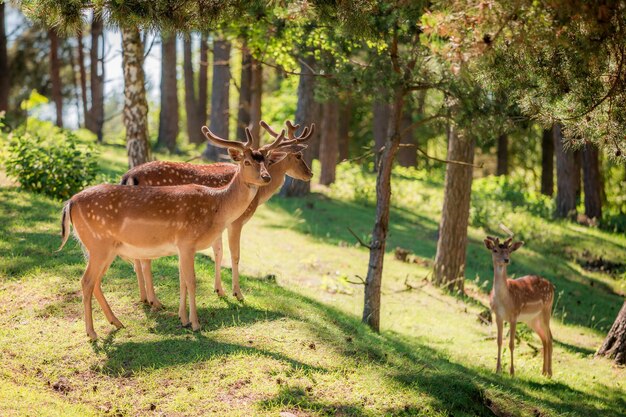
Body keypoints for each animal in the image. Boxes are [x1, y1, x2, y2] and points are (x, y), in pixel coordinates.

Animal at [59, 126, 284, 338]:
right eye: (246, 162)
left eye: (265, 161)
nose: (266, 177)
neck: (217, 207)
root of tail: (70, 203)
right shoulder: (187, 242)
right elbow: (191, 281)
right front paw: (195, 324)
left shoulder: (181, 247)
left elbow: (182, 281)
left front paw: (182, 319)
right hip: (99, 244)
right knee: (86, 281)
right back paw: (92, 333)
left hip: (103, 248)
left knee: (95, 281)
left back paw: (117, 322)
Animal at [120, 119, 314, 302]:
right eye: (298, 155)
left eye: (267, 161)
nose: (310, 174)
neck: (259, 196)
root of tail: (129, 176)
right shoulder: (236, 221)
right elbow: (235, 255)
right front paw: (237, 294)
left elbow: (218, 253)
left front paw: (220, 290)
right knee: (144, 258)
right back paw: (153, 300)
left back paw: (144, 297)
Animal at [480, 236, 552, 376]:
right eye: (495, 250)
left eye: (509, 251)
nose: (506, 260)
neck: (504, 300)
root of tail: (552, 286)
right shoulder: (498, 315)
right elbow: (499, 341)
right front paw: (497, 369)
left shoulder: (514, 315)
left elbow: (511, 344)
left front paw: (512, 372)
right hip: (532, 319)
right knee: (544, 338)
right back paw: (543, 372)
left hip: (547, 310)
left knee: (550, 338)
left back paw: (550, 373)